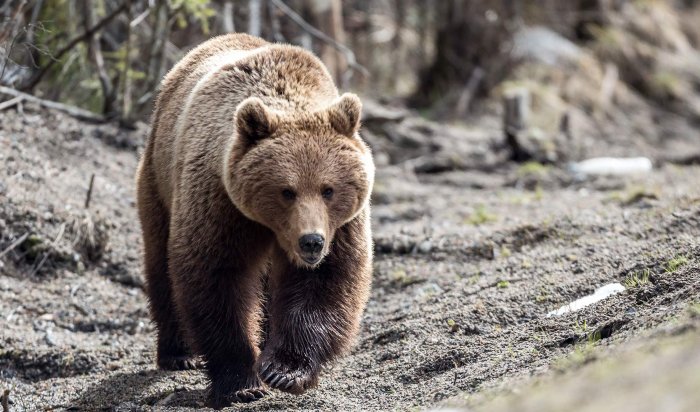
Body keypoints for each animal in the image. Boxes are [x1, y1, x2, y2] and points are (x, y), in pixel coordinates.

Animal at [135, 33, 374, 408]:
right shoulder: (220, 203)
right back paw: (178, 353)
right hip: (159, 181)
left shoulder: (342, 226)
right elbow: (217, 278)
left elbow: (326, 280)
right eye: (287, 190)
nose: (311, 242)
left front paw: (284, 370)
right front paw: (241, 383)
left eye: (328, 189)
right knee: (161, 262)